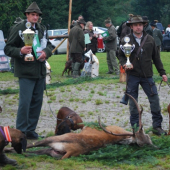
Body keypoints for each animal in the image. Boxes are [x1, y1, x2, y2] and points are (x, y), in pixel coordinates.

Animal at [25, 93, 155, 159]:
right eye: (148, 137)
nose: (155, 147)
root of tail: (69, 151)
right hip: (53, 151)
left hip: (54, 142)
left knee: (29, 146)